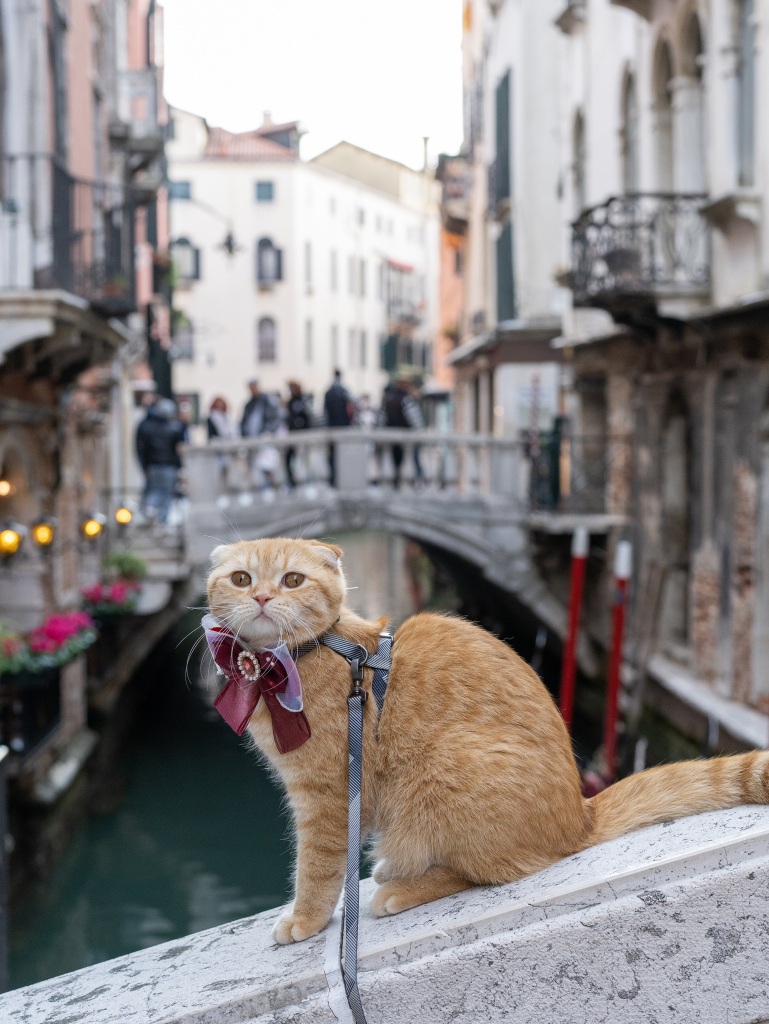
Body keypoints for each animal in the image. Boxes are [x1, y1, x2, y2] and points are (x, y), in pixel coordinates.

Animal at [204, 536, 769, 942]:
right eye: (241, 578)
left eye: (293, 580)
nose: (261, 596)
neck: (301, 657)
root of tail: (579, 816)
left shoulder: (327, 795)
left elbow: (318, 865)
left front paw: (305, 919)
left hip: (445, 766)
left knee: (496, 871)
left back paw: (402, 889)